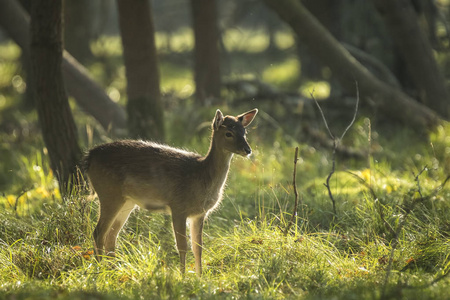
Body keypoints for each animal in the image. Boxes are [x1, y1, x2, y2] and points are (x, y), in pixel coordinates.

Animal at [84, 109, 256, 276]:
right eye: (228, 133)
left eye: (244, 132)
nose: (248, 150)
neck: (202, 176)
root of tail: (90, 156)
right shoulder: (178, 206)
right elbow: (182, 246)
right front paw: (183, 277)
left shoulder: (200, 213)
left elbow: (198, 247)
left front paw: (201, 278)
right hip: (109, 193)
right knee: (98, 232)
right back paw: (101, 270)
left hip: (127, 201)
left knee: (112, 236)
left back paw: (114, 270)